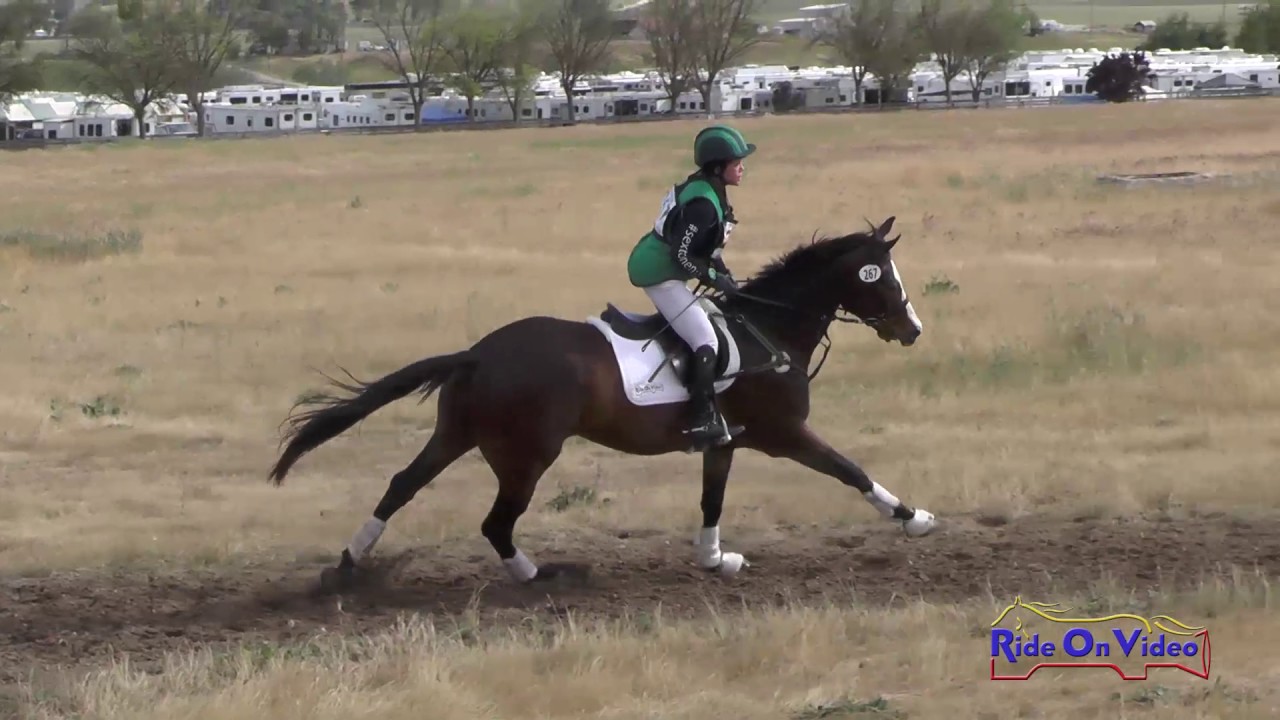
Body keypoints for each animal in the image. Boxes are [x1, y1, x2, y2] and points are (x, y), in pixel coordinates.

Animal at [267, 215, 937, 589]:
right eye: (883, 275)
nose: (913, 330)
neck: (767, 328)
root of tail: (478, 353)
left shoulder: (726, 442)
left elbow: (711, 500)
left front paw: (714, 559)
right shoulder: (785, 434)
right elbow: (850, 470)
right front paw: (914, 518)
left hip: (457, 434)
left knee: (402, 485)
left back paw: (348, 565)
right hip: (528, 455)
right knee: (495, 522)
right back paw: (539, 575)